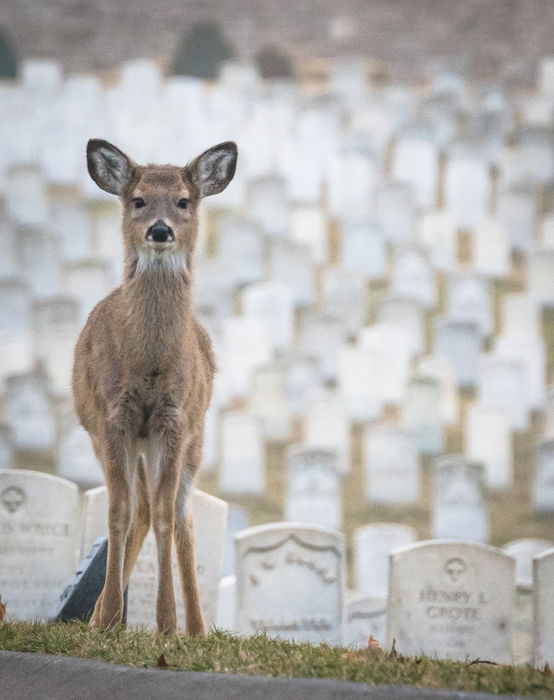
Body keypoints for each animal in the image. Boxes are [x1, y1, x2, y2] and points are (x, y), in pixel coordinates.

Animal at [71, 137, 235, 636]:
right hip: (110, 436)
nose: (160, 231)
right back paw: (102, 615)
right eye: (138, 200)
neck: (145, 362)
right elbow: (118, 513)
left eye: (183, 201)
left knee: (181, 517)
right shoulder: (113, 418)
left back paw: (196, 628)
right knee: (139, 509)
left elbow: (165, 515)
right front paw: (107, 617)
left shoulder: (173, 419)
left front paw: (166, 622)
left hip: (195, 439)